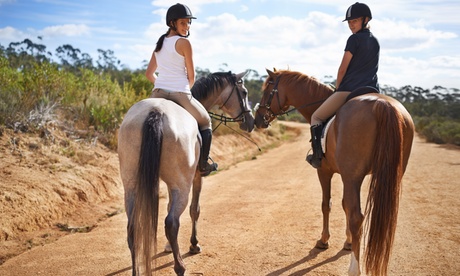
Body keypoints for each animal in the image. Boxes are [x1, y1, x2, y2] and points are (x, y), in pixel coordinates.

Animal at [118, 70, 255, 274]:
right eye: (244, 92)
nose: (251, 122)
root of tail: (156, 112)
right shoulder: (197, 177)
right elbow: (195, 210)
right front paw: (194, 244)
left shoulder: (169, 184)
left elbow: (169, 205)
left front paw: (168, 246)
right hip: (182, 185)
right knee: (171, 223)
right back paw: (180, 267)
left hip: (131, 186)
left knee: (133, 227)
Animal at [253, 68, 416, 274]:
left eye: (267, 89)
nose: (258, 119)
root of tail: (383, 105)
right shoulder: (348, 176)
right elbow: (344, 204)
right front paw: (348, 242)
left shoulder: (326, 172)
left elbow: (326, 204)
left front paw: (323, 240)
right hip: (389, 175)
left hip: (353, 177)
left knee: (356, 217)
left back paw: (354, 268)